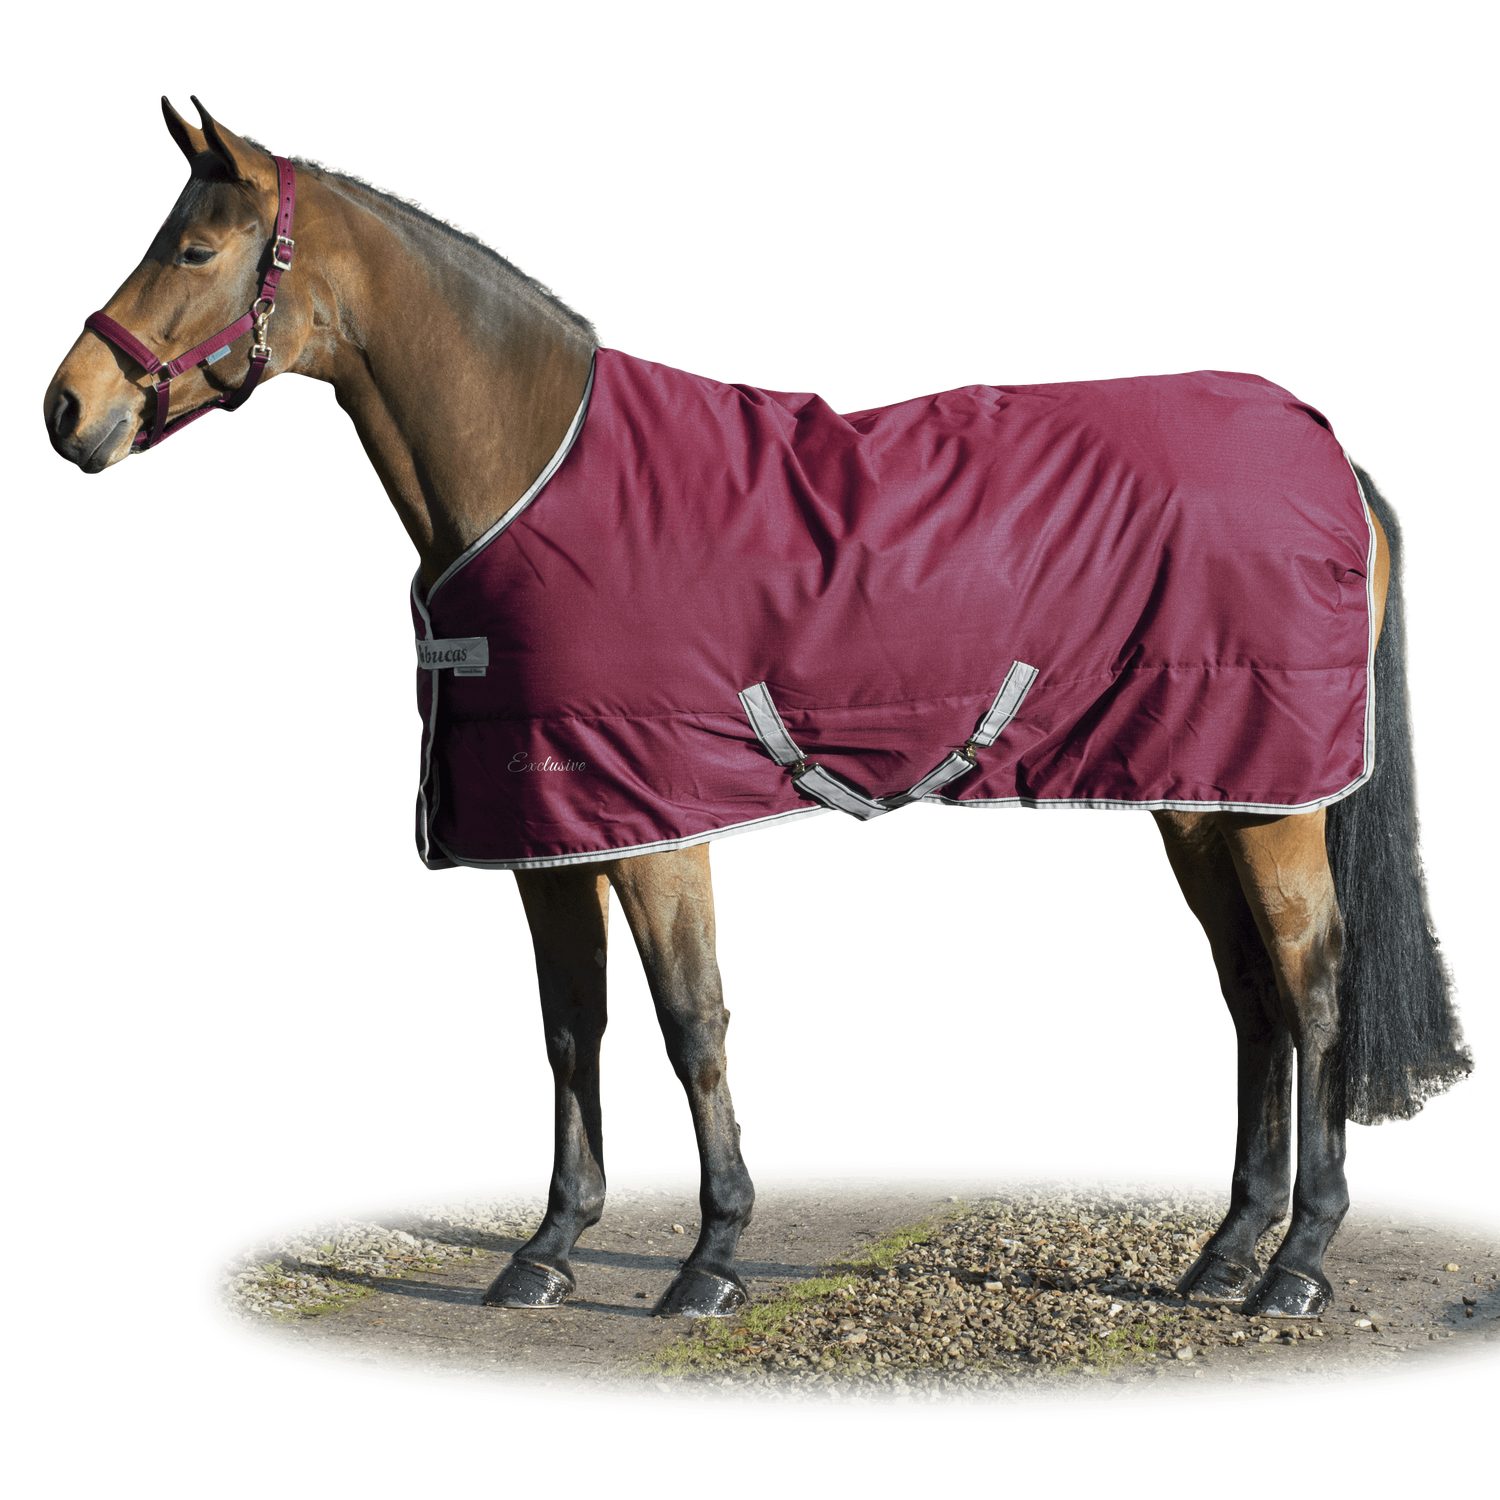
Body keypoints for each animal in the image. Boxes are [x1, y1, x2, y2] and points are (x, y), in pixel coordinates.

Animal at [43, 99, 1470, 1323]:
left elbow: (692, 1022)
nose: (67, 409)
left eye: (194, 247)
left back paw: (1297, 1264)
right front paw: (547, 1250)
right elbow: (572, 1031)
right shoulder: (553, 831)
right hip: (1202, 797)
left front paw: (712, 1256)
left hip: (1266, 805)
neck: (534, 467)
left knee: (1313, 991)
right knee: (1252, 999)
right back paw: (1225, 1255)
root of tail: (1331, 453)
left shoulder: (656, 821)